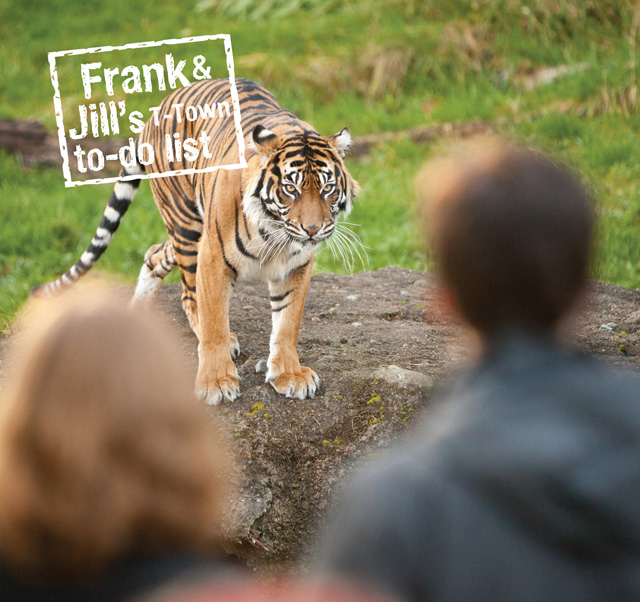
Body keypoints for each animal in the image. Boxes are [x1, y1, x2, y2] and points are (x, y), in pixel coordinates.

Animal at [32, 76, 360, 404]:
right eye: (291, 188)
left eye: (328, 188)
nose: (313, 230)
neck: (275, 234)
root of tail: (157, 108)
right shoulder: (213, 257)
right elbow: (214, 321)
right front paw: (217, 382)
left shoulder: (296, 266)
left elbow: (288, 322)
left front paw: (289, 374)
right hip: (186, 225)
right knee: (189, 295)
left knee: (153, 253)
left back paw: (136, 314)